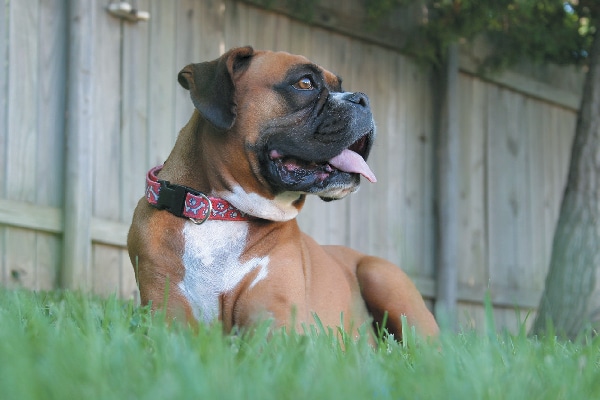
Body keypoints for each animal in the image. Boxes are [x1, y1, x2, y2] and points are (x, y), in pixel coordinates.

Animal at [127, 47, 436, 340]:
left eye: (341, 86)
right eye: (305, 82)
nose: (362, 99)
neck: (219, 212)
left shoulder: (277, 329)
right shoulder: (168, 319)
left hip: (381, 277)